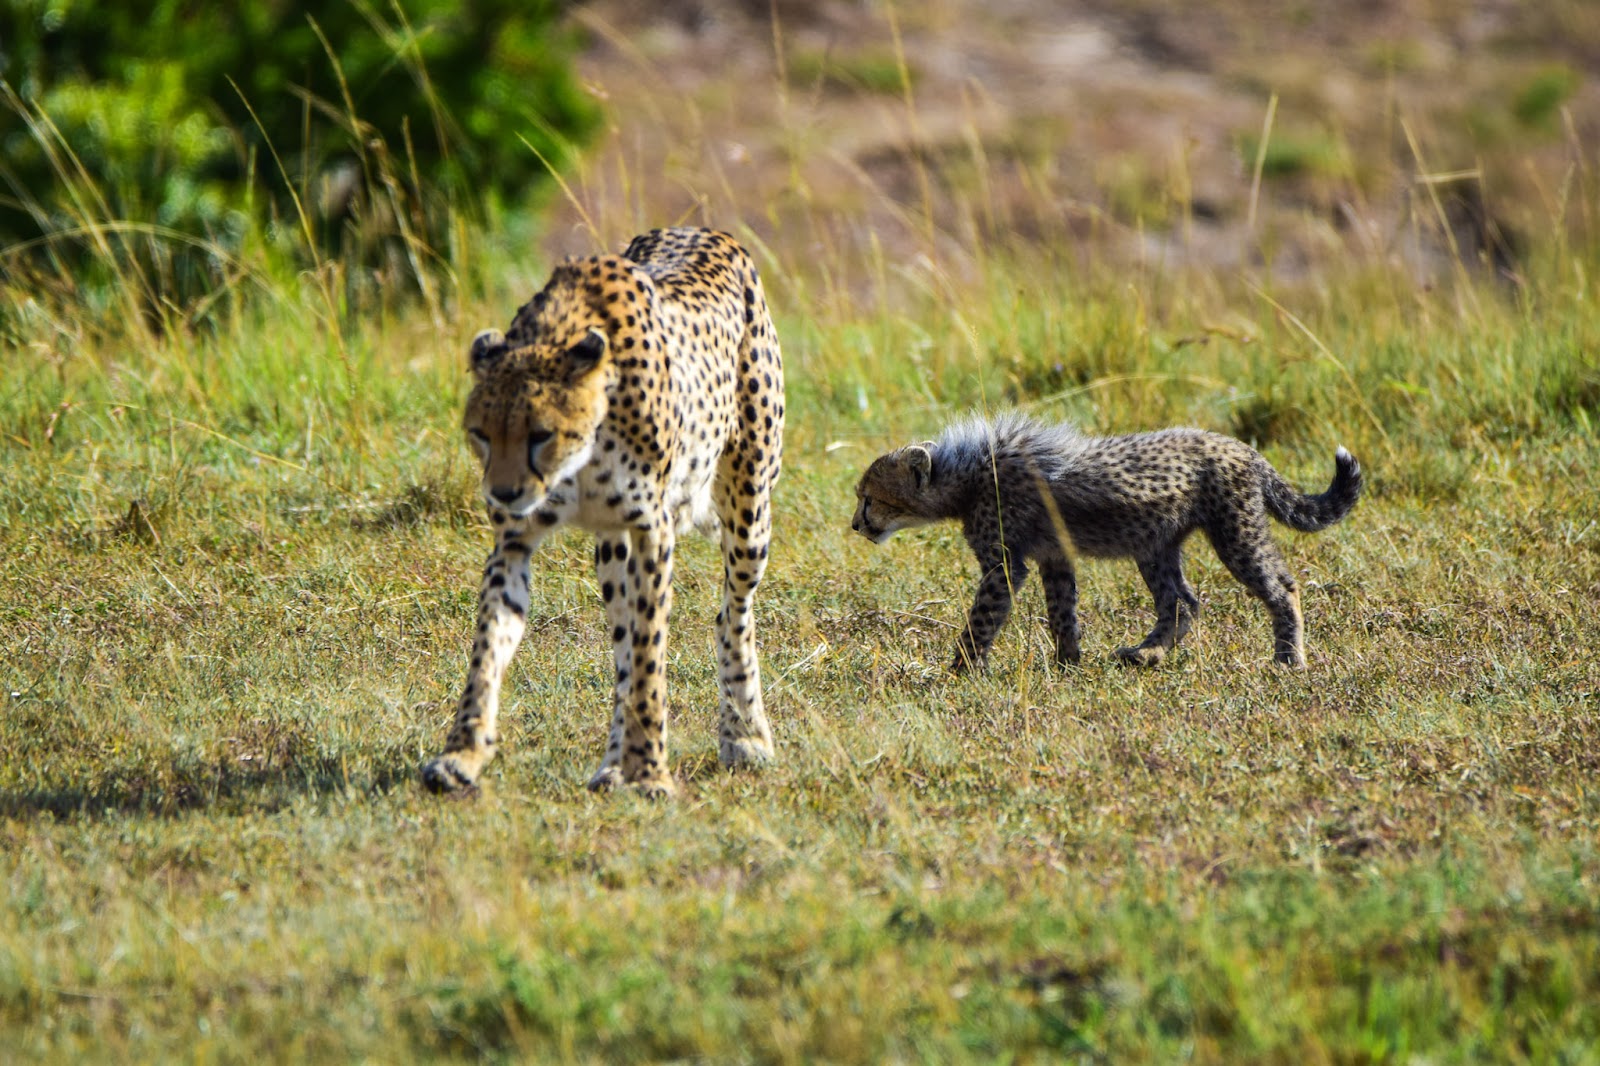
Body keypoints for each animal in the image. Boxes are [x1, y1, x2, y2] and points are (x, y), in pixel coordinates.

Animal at [421, 227, 784, 798]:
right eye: (481, 433)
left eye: (540, 434)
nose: (503, 493)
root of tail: (713, 232)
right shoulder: (513, 542)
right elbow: (488, 650)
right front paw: (461, 754)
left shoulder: (654, 532)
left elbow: (651, 660)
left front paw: (652, 771)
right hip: (612, 553)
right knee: (622, 648)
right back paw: (613, 764)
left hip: (749, 509)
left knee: (731, 615)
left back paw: (745, 736)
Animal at [851, 412, 1362, 672]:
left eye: (870, 497)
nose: (856, 525)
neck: (965, 474)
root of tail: (1240, 446)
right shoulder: (1053, 555)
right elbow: (1062, 613)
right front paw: (1068, 665)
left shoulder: (1005, 566)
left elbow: (981, 620)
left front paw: (956, 672)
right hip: (1154, 543)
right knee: (1181, 601)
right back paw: (1146, 654)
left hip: (1234, 531)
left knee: (1281, 587)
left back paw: (1288, 660)